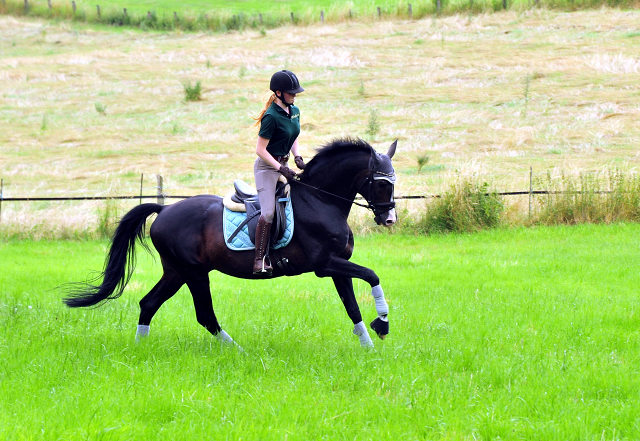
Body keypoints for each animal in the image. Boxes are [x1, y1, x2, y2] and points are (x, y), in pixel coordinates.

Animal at [63, 138, 396, 348]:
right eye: (381, 183)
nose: (389, 219)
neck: (321, 201)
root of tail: (164, 210)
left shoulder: (338, 266)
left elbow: (352, 306)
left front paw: (368, 345)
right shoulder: (325, 265)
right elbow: (372, 275)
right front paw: (382, 324)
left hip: (175, 271)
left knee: (149, 303)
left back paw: (139, 348)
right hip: (194, 273)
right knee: (205, 315)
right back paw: (237, 350)